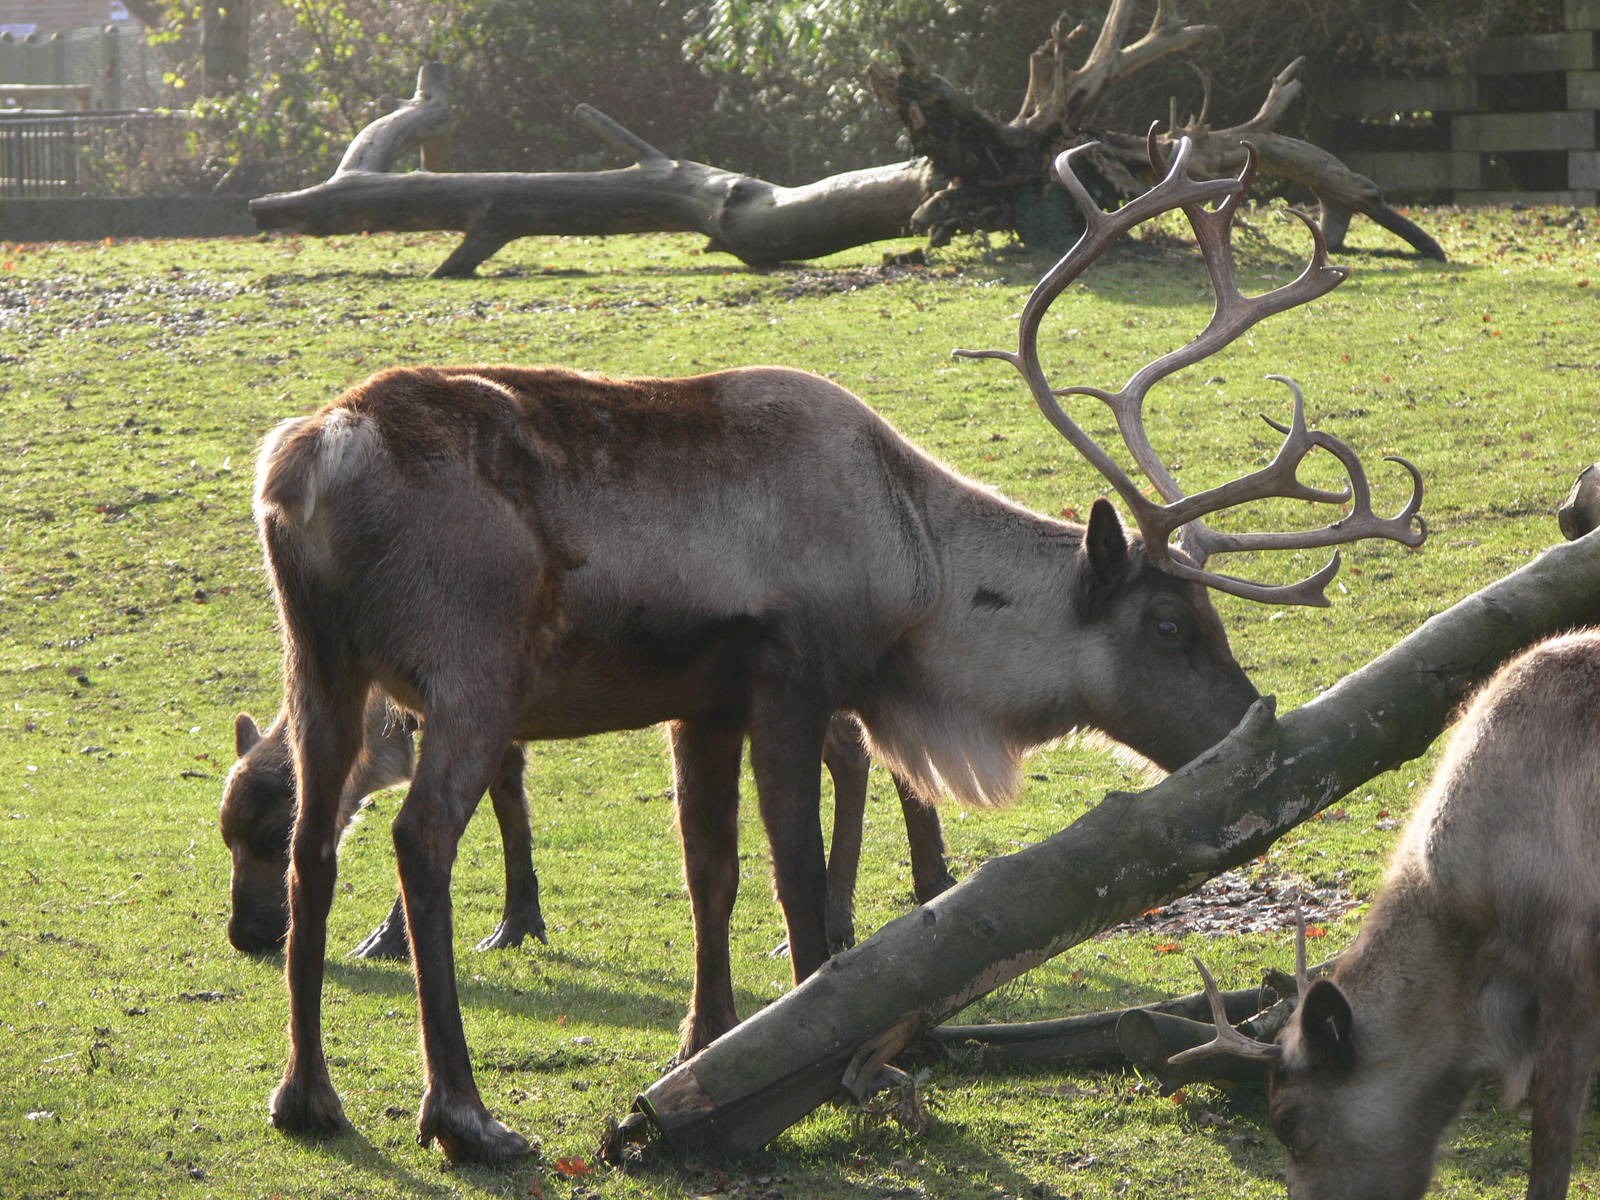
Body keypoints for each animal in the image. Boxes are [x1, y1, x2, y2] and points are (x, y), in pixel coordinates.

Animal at [220, 700, 949, 960]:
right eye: (225, 833)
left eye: (275, 834)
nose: (246, 933)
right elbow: (508, 791)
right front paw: (518, 920)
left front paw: (389, 937)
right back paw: (930, 877)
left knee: (854, 749)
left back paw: (837, 915)